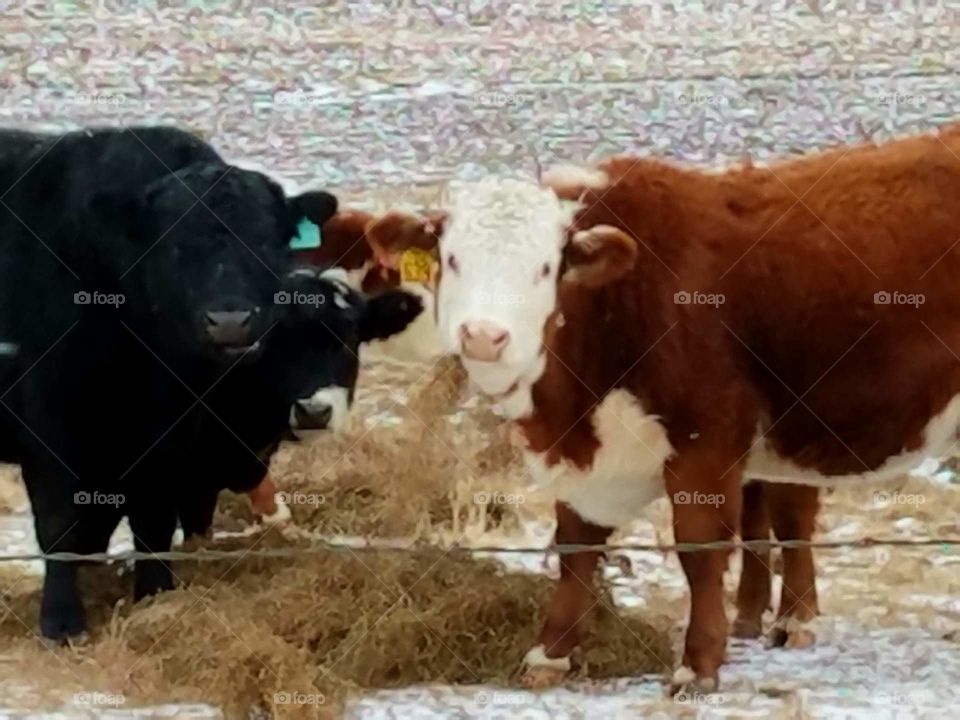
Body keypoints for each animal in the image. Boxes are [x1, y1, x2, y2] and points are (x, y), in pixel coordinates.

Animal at [0, 126, 347, 638]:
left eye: (265, 242)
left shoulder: (170, 434)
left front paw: (154, 594)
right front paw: (62, 622)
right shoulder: (50, 419)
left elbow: (152, 517)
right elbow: (61, 521)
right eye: (175, 245)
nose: (230, 322)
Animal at [364, 125, 960, 693]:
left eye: (545, 268)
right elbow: (576, 545)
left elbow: (700, 548)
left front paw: (697, 667)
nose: (484, 337)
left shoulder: (708, 437)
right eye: (452, 259)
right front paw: (549, 654)